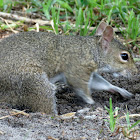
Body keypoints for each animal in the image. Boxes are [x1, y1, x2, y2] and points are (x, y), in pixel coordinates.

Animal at [0, 21, 138, 114]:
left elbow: (99, 83)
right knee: (44, 106)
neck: (92, 50)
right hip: (31, 82)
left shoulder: (88, 73)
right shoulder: (77, 69)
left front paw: (119, 90)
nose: (136, 72)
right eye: (124, 56)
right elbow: (81, 87)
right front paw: (92, 103)